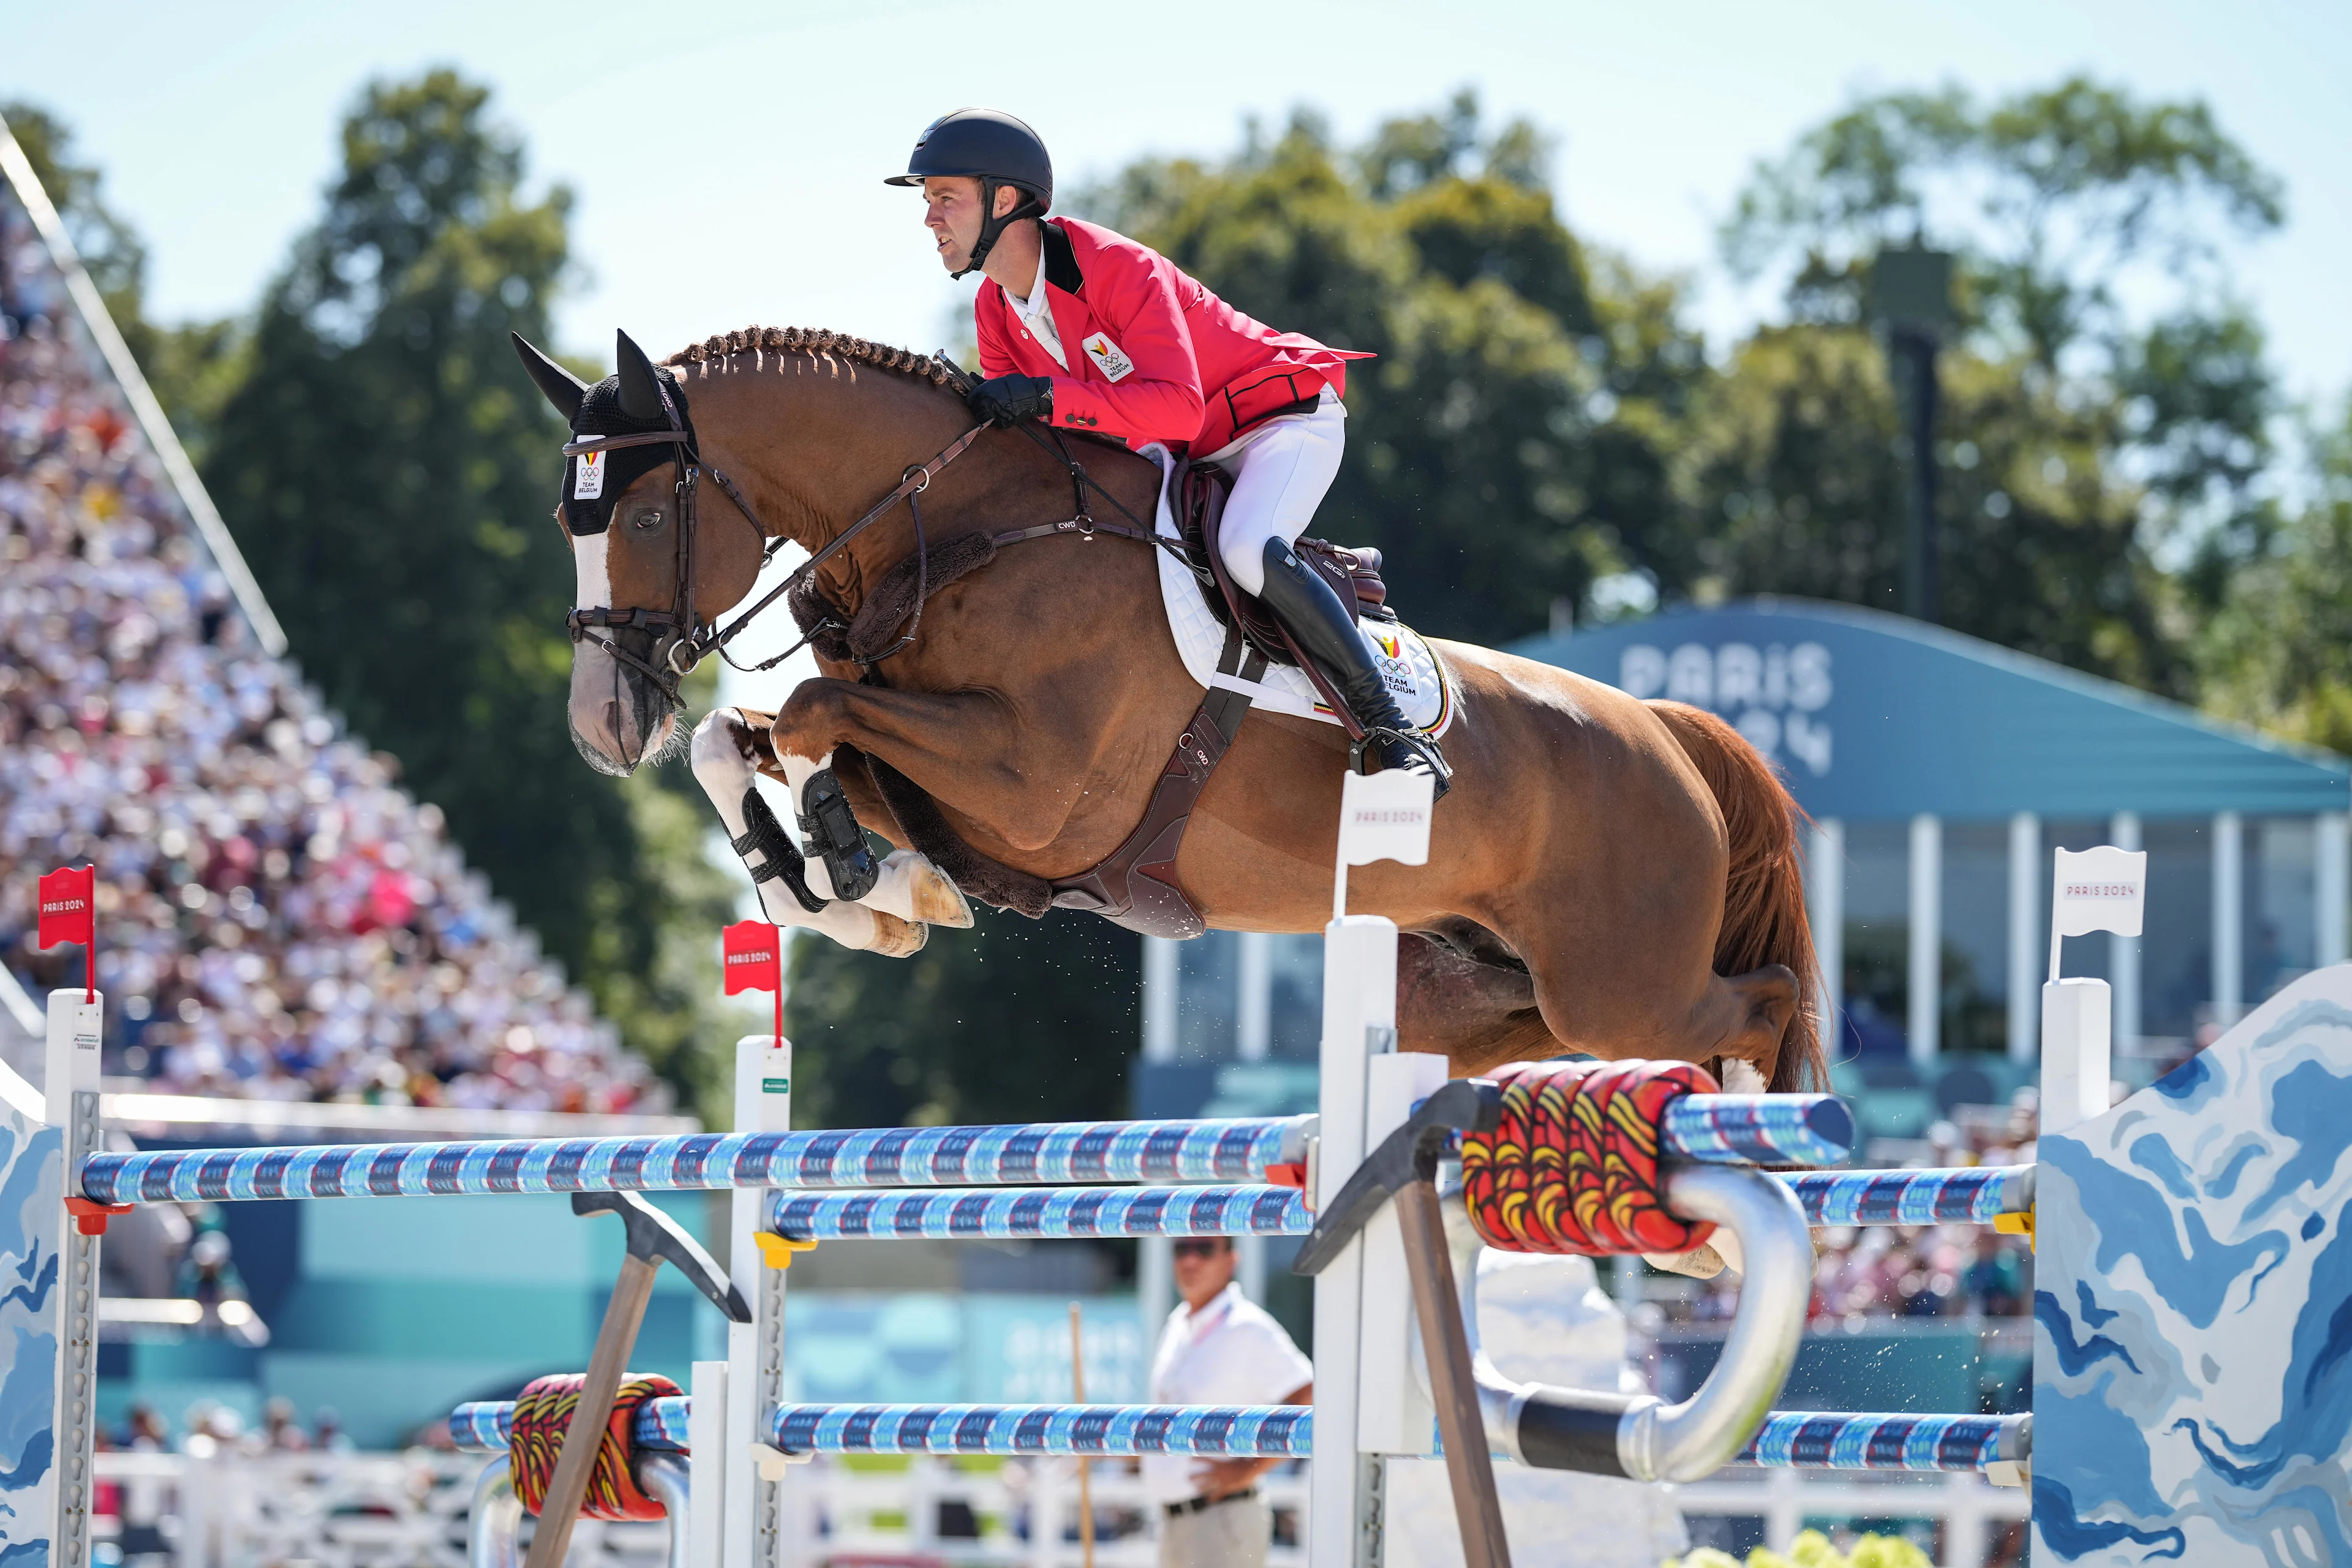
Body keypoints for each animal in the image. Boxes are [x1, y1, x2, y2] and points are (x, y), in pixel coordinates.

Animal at [524, 329, 1825, 1090]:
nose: (599, 725)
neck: (961, 529)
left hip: (1624, 983)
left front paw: (852, 872)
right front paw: (861, 893)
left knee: (1765, 1006)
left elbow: (807, 708)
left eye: (646, 516)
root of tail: (1669, 732)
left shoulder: (1034, 789)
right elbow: (746, 738)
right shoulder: (971, 797)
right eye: (564, 523)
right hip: (1484, 991)